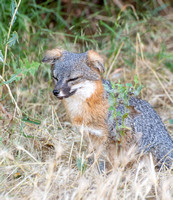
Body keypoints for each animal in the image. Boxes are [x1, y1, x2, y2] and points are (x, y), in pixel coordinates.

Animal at [42, 47, 173, 170]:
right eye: (55, 77)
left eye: (73, 79)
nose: (55, 92)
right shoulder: (90, 136)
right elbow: (94, 156)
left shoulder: (111, 139)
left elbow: (102, 159)